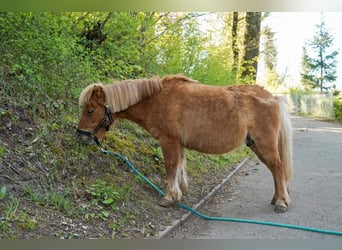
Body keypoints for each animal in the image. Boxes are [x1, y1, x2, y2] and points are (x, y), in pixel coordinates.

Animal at [77, 74, 294, 213]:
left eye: (90, 110)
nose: (81, 137)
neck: (157, 100)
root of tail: (272, 97)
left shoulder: (169, 141)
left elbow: (171, 168)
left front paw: (169, 198)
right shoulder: (178, 144)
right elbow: (180, 167)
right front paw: (181, 192)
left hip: (264, 145)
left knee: (278, 168)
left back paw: (281, 202)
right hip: (257, 146)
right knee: (275, 170)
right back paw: (277, 198)